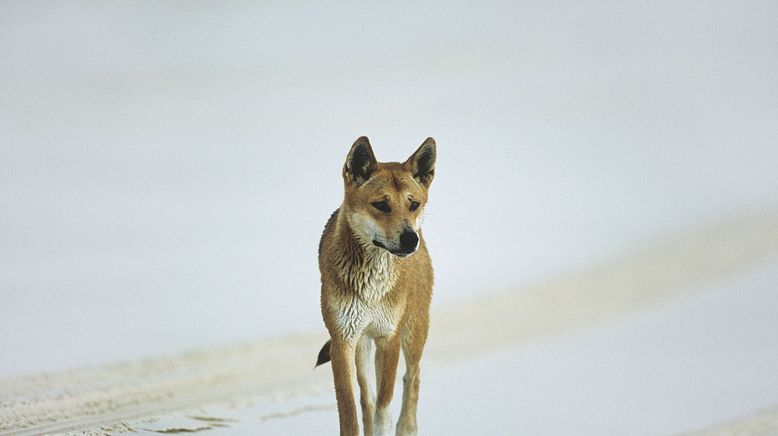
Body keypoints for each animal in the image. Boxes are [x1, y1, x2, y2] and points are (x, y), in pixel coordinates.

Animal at [316, 138, 436, 436]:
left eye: (413, 204)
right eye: (381, 205)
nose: (410, 239)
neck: (372, 284)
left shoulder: (388, 337)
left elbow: (385, 406)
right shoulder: (343, 341)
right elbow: (352, 411)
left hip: (413, 332)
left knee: (412, 378)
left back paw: (407, 426)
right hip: (362, 346)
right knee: (367, 398)